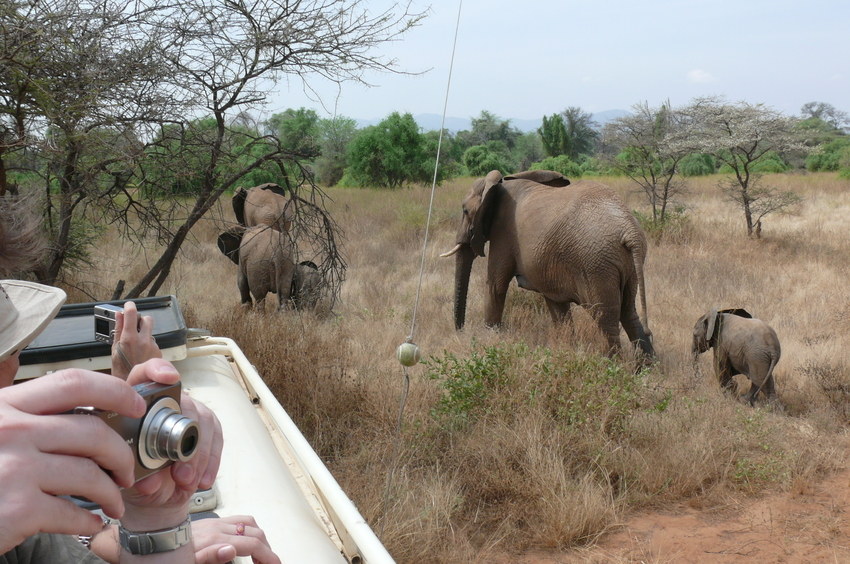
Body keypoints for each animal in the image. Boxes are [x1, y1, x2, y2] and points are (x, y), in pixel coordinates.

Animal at [440, 170, 652, 360]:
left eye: (465, 211)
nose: (461, 331)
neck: (498, 184)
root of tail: (629, 231)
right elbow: (556, 305)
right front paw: (567, 349)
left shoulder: (503, 233)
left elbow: (495, 287)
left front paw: (491, 340)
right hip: (625, 264)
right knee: (628, 313)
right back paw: (644, 369)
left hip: (597, 264)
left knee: (605, 318)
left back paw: (612, 366)